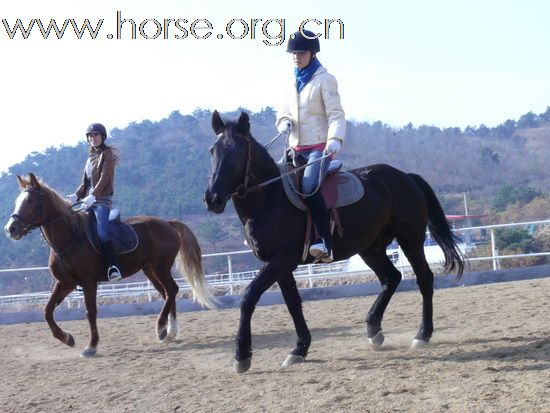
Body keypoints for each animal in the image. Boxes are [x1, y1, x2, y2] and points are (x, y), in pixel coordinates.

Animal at [6, 172, 219, 356]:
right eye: (17, 201)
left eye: (30, 201)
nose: (11, 229)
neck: (70, 237)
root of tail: (168, 223)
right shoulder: (66, 283)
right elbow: (47, 311)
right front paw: (66, 338)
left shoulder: (89, 282)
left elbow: (90, 312)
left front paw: (91, 346)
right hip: (150, 270)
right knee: (168, 292)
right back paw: (170, 332)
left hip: (160, 267)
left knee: (172, 290)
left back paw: (161, 329)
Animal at [207, 111, 466, 372]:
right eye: (212, 151)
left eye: (239, 152)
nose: (212, 198)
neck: (271, 199)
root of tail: (406, 177)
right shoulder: (280, 265)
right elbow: (293, 303)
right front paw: (300, 349)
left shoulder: (281, 260)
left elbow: (249, 297)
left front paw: (242, 355)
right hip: (370, 249)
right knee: (391, 278)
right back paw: (374, 329)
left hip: (410, 239)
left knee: (424, 279)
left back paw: (422, 335)